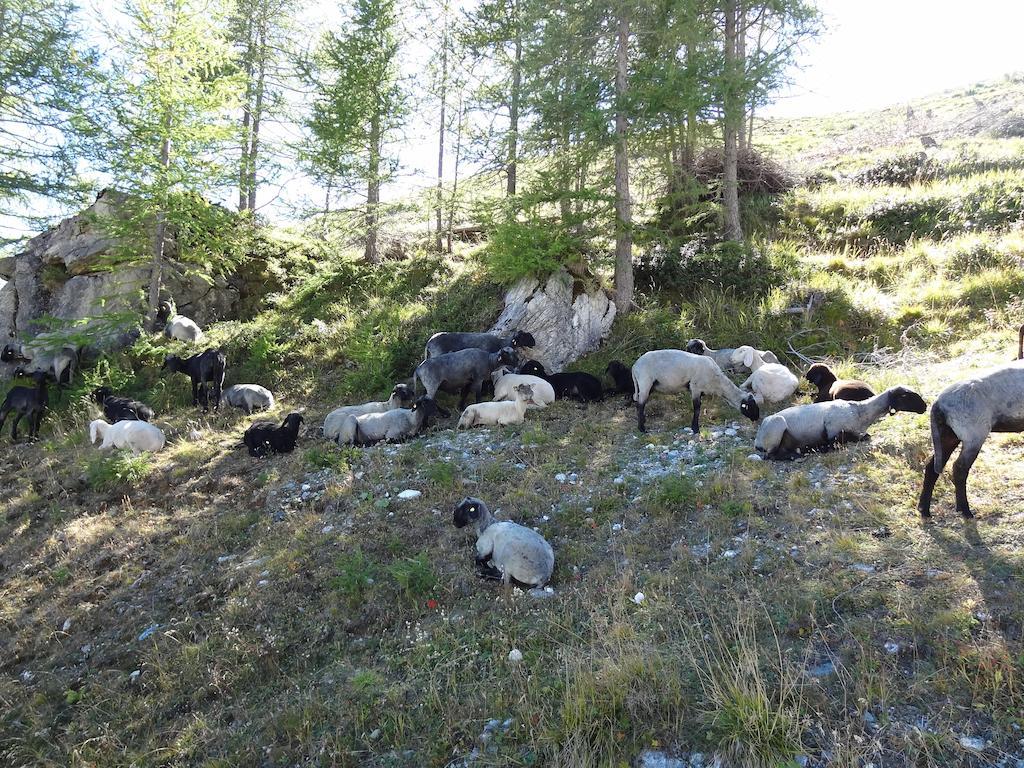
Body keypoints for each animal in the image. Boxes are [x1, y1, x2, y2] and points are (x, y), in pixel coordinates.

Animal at [630, 354, 761, 436]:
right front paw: (695, 429)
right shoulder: (695, 388)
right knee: (640, 405)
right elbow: (697, 409)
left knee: (640, 404)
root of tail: (635, 366)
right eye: (752, 407)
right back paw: (642, 429)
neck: (717, 383)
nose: (757, 419)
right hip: (645, 382)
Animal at [753, 387, 929, 460]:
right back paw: (796, 455)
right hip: (777, 425)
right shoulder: (833, 430)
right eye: (906, 396)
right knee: (771, 456)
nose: (925, 407)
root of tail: (758, 439)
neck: (860, 412)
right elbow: (837, 441)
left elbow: (865, 436)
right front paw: (821, 447)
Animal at [921, 362, 1024, 520]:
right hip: (973, 435)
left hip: (947, 435)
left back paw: (924, 510)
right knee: (959, 468)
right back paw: (965, 511)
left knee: (932, 466)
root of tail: (938, 405)